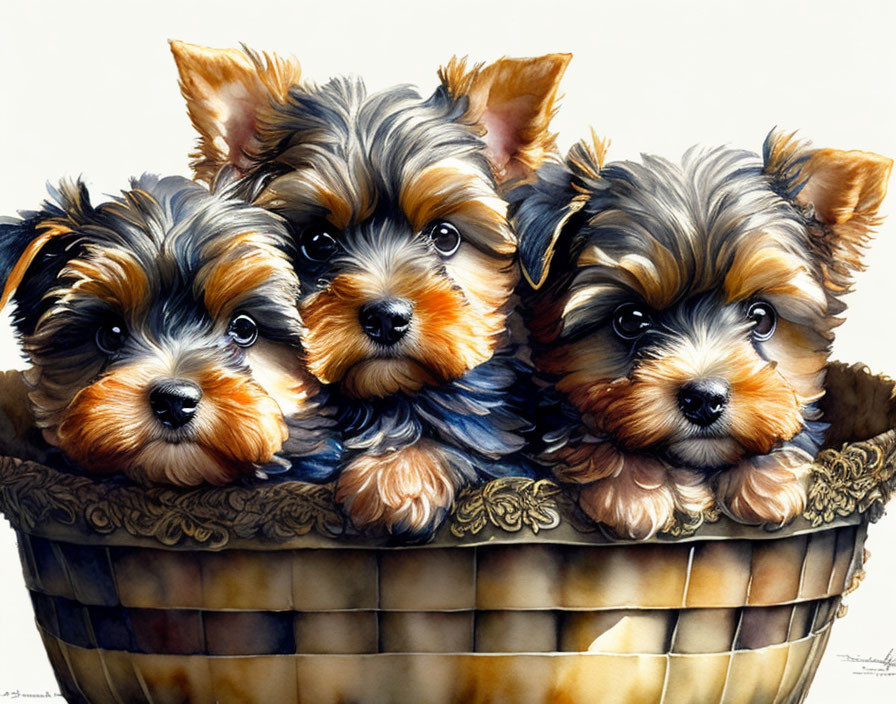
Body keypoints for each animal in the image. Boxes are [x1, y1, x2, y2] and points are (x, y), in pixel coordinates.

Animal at [516, 131, 892, 540]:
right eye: (630, 320)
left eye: (762, 317)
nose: (704, 398)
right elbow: (584, 432)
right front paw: (631, 495)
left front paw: (770, 485)